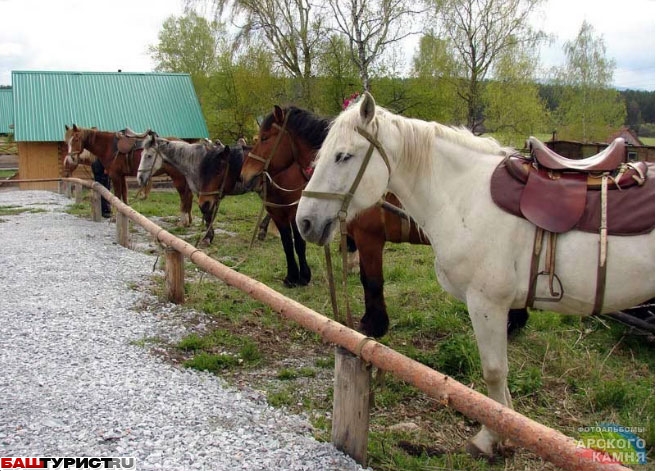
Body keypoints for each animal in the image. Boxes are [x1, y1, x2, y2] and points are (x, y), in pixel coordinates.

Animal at [65, 126, 196, 226]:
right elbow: (124, 196)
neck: (108, 147)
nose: (70, 159)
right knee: (188, 195)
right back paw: (188, 220)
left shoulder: (115, 176)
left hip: (177, 177)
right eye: (67, 141)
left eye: (76, 139)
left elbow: (117, 196)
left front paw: (114, 217)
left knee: (184, 195)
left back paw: (183, 221)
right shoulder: (121, 176)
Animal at [240, 105, 528, 338]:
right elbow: (365, 278)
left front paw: (375, 326)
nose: (245, 175)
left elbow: (373, 281)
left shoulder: (369, 239)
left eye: (263, 138)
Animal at [296, 91, 652, 458]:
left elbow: (493, 372)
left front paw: (490, 437)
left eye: (343, 156)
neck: (466, 196)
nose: (304, 222)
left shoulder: (487, 304)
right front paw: (507, 432)